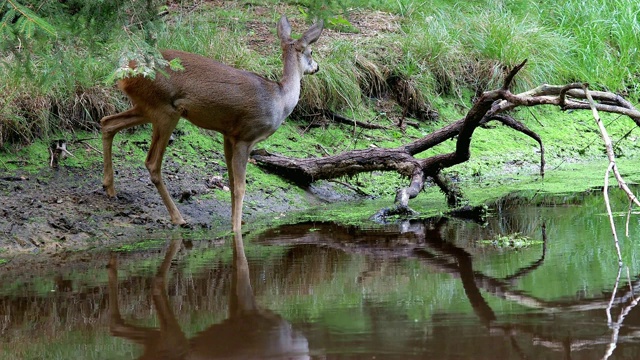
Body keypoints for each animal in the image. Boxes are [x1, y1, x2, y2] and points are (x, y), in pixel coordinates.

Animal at [101, 15, 324, 229]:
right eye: (311, 52)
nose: (317, 67)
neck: (280, 99)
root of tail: (127, 72)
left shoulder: (228, 135)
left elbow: (232, 182)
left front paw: (236, 221)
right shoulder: (246, 136)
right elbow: (240, 187)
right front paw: (236, 228)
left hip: (147, 107)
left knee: (107, 122)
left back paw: (109, 188)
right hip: (166, 111)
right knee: (152, 163)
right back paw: (178, 218)